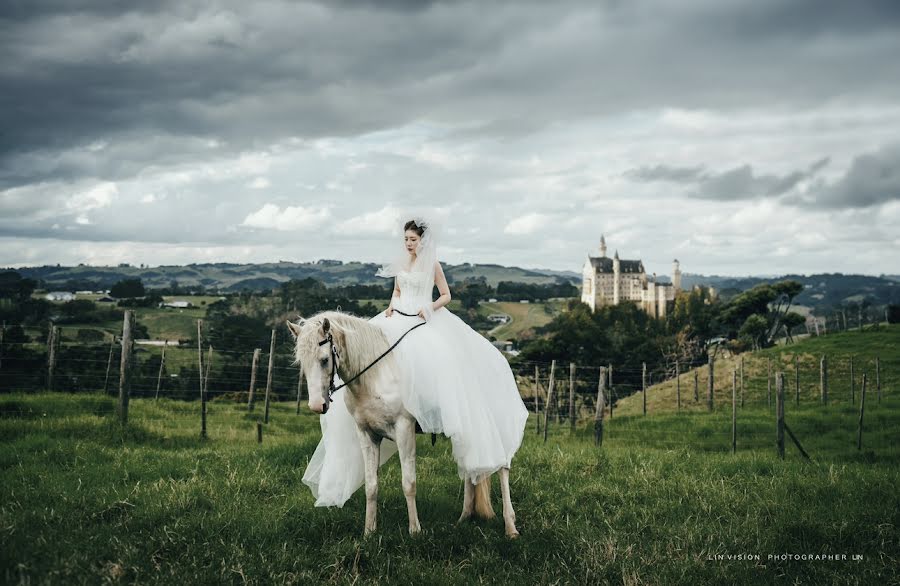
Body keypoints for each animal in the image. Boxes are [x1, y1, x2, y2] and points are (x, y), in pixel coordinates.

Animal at [284, 312, 516, 536]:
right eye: (302, 363)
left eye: (324, 360)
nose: (317, 405)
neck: (376, 375)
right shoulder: (367, 434)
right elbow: (371, 486)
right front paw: (369, 532)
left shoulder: (404, 430)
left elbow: (408, 483)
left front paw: (414, 530)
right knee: (471, 467)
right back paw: (464, 518)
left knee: (503, 466)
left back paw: (510, 527)